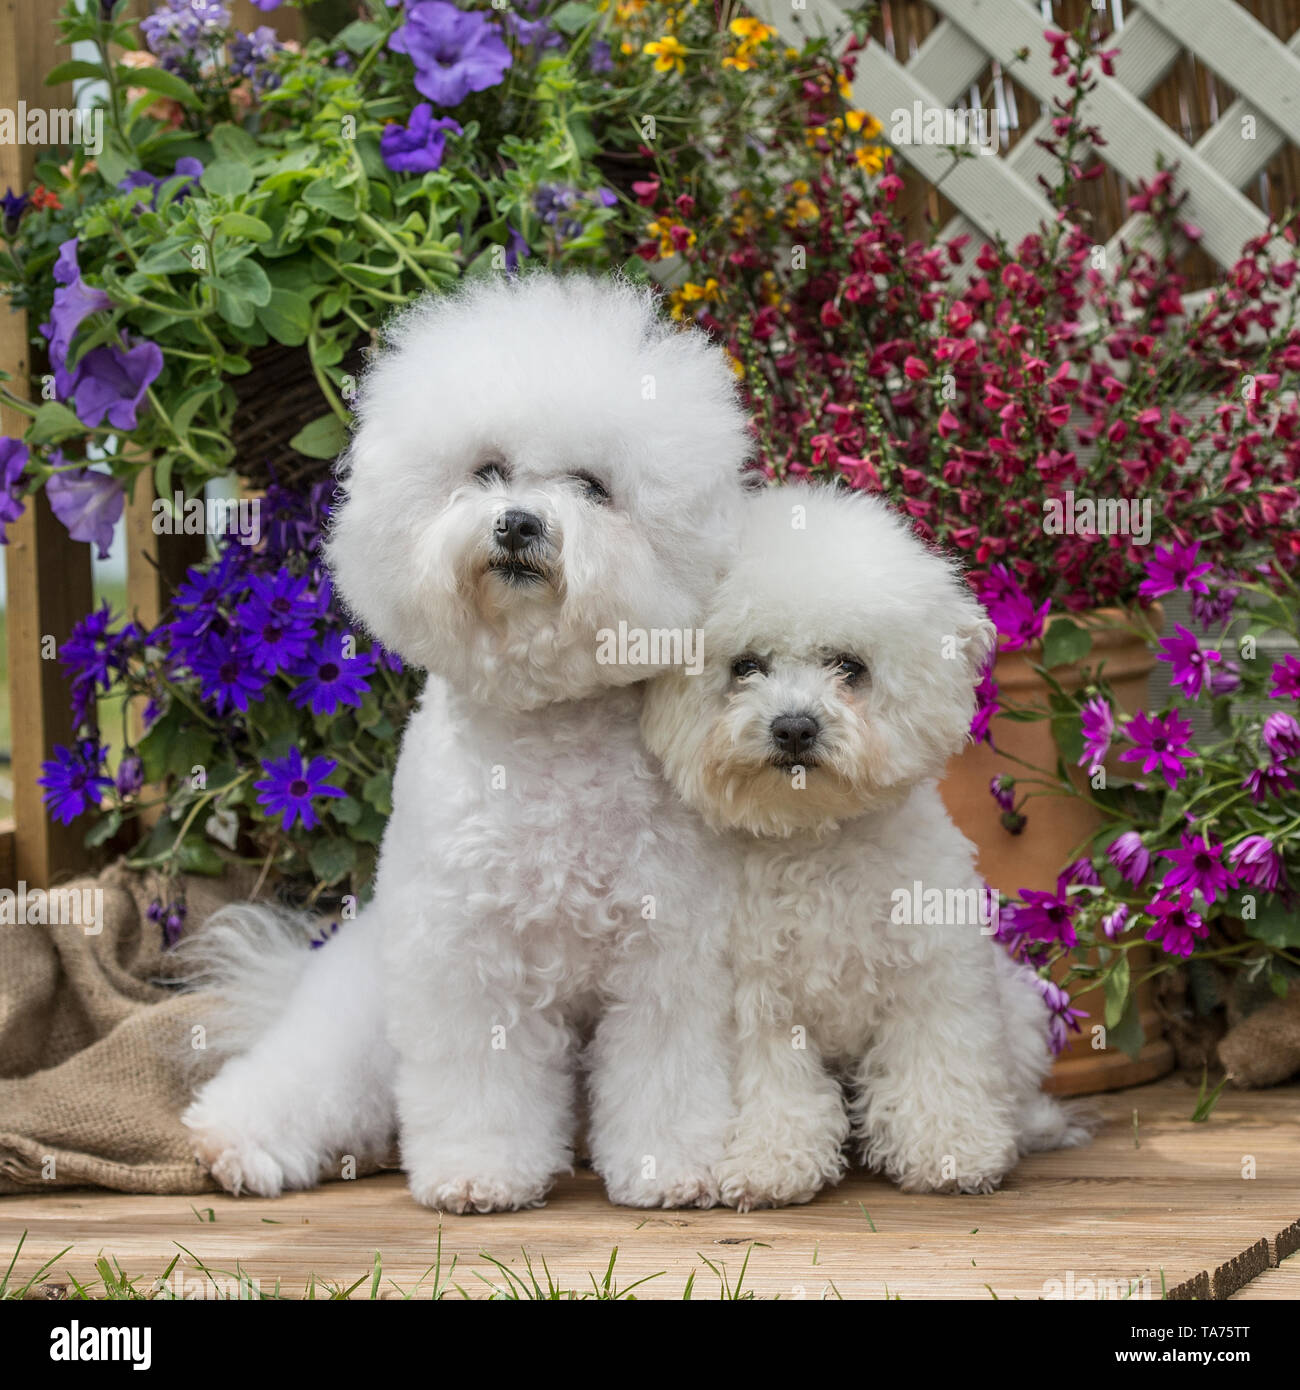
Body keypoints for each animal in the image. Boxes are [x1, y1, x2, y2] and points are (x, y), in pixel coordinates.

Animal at [184, 276, 750, 1212]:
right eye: (485, 472)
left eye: (593, 487)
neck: (547, 733)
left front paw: (672, 1167)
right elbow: (480, 1085)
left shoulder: (669, 953)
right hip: (363, 1013)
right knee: (301, 1079)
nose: (518, 524)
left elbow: (667, 1069)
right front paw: (479, 1173)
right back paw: (236, 1141)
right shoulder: (467, 962)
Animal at [642, 486, 1090, 1206]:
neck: (819, 839)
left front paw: (952, 1152)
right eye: (745, 667)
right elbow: (775, 1089)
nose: (794, 727)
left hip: (1019, 1008)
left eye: (849, 666)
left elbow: (939, 1067)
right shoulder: (756, 1002)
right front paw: (771, 1163)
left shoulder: (935, 977)